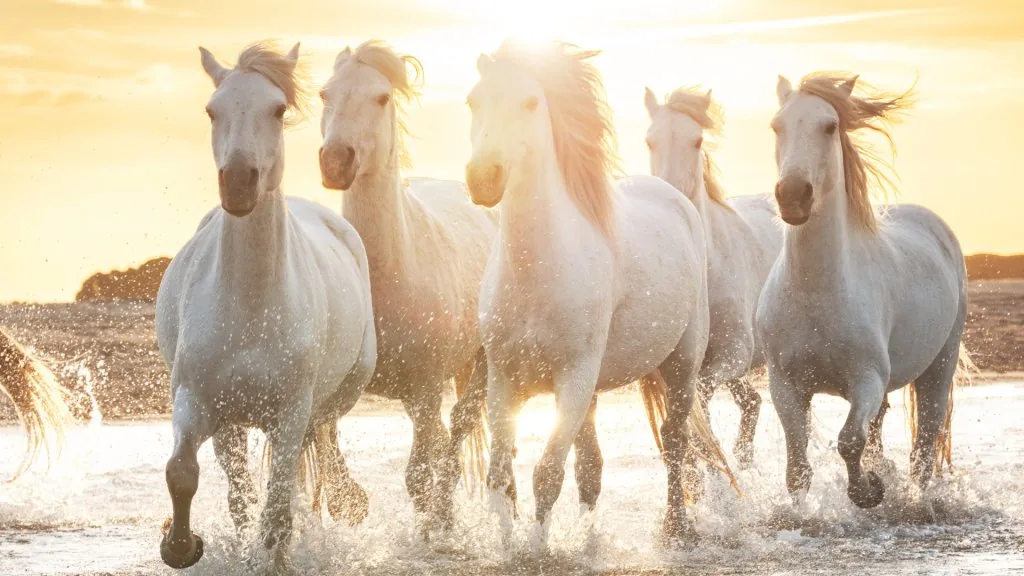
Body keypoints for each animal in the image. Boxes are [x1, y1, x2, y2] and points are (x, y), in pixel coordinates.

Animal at [155, 42, 376, 570]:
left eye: (276, 109)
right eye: (211, 110)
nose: (239, 182)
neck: (253, 307)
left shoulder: (289, 415)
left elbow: (277, 511)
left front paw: (272, 559)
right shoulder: (197, 402)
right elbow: (184, 473)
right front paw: (181, 545)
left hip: (333, 396)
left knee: (320, 449)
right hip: (233, 423)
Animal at [318, 40, 496, 534]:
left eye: (381, 98)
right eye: (324, 94)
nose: (335, 161)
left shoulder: (427, 386)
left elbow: (419, 474)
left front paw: (431, 527)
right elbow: (326, 445)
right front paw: (348, 501)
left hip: (476, 367)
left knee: (457, 428)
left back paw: (445, 513)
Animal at [465, 40, 717, 550]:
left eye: (530, 102)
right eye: (472, 102)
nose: (483, 178)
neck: (538, 271)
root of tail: (675, 197)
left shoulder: (574, 379)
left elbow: (546, 473)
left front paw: (537, 549)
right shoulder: (504, 381)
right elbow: (502, 476)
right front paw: (507, 544)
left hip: (681, 366)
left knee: (674, 441)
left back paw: (676, 528)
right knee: (592, 466)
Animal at [757, 72, 969, 512]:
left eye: (829, 126)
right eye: (776, 126)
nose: (793, 195)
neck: (817, 293)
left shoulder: (866, 380)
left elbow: (848, 441)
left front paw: (869, 490)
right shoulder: (785, 385)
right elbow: (797, 467)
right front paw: (804, 514)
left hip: (940, 365)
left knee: (924, 446)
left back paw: (914, 499)